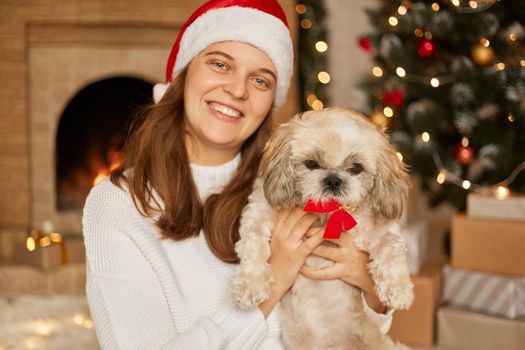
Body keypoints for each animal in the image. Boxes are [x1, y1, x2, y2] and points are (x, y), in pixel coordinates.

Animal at [229, 108, 414, 348]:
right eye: (311, 164)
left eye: (356, 168)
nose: (333, 180)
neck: (325, 216)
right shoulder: (258, 213)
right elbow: (253, 246)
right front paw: (249, 285)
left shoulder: (380, 229)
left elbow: (391, 248)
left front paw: (398, 290)